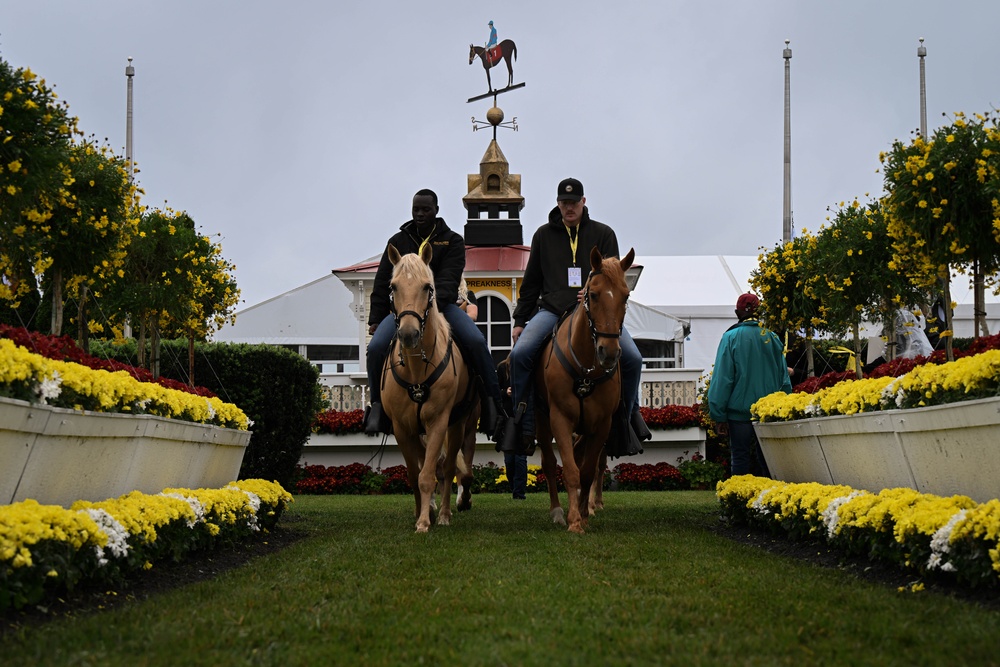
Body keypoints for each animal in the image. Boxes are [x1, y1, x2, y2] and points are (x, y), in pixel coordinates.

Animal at [382, 244, 476, 532]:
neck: (416, 368)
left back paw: (444, 513)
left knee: (448, 468)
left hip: (457, 425)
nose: (408, 334)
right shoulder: (402, 427)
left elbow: (429, 475)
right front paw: (421, 513)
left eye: (427, 287)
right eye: (393, 286)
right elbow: (415, 474)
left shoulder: (438, 421)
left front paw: (425, 522)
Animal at [540, 248, 632, 536]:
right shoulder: (560, 418)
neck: (586, 369)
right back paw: (557, 511)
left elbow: (588, 470)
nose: (609, 352)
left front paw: (583, 514)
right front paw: (573, 520)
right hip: (539, 421)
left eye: (626, 295)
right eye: (592, 294)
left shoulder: (602, 424)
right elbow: (570, 470)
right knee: (549, 462)